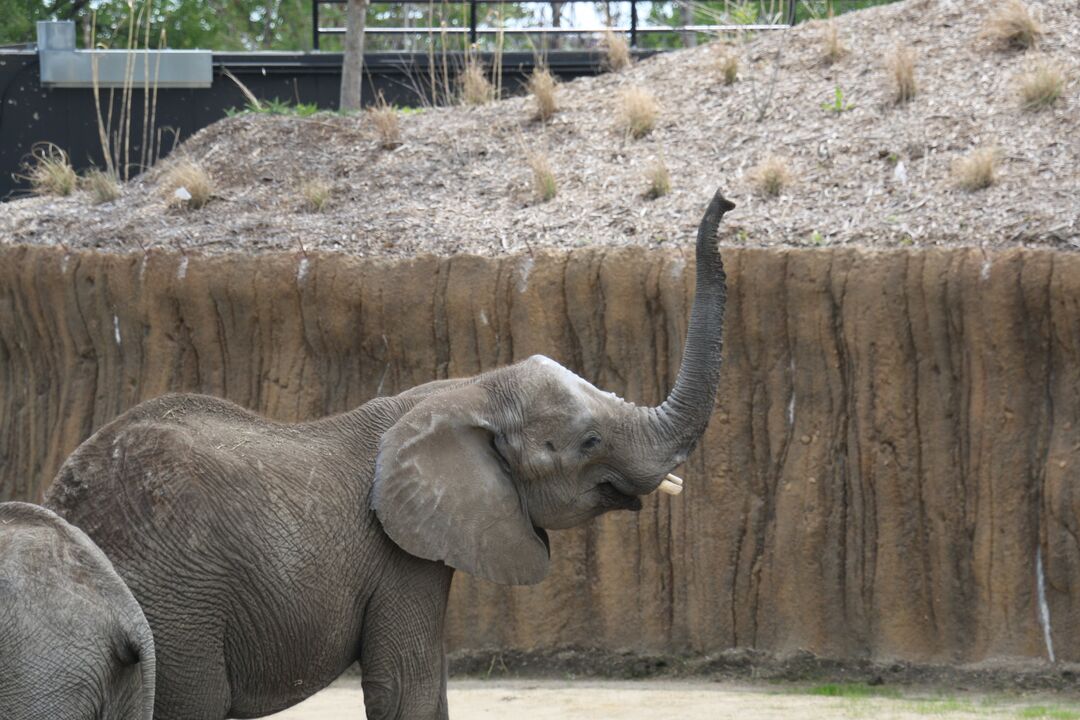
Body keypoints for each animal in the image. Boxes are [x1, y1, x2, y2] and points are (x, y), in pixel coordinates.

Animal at [42, 188, 734, 716]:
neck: (467, 388)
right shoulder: (399, 554)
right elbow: (409, 686)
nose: (727, 199)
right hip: (178, 609)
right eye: (588, 442)